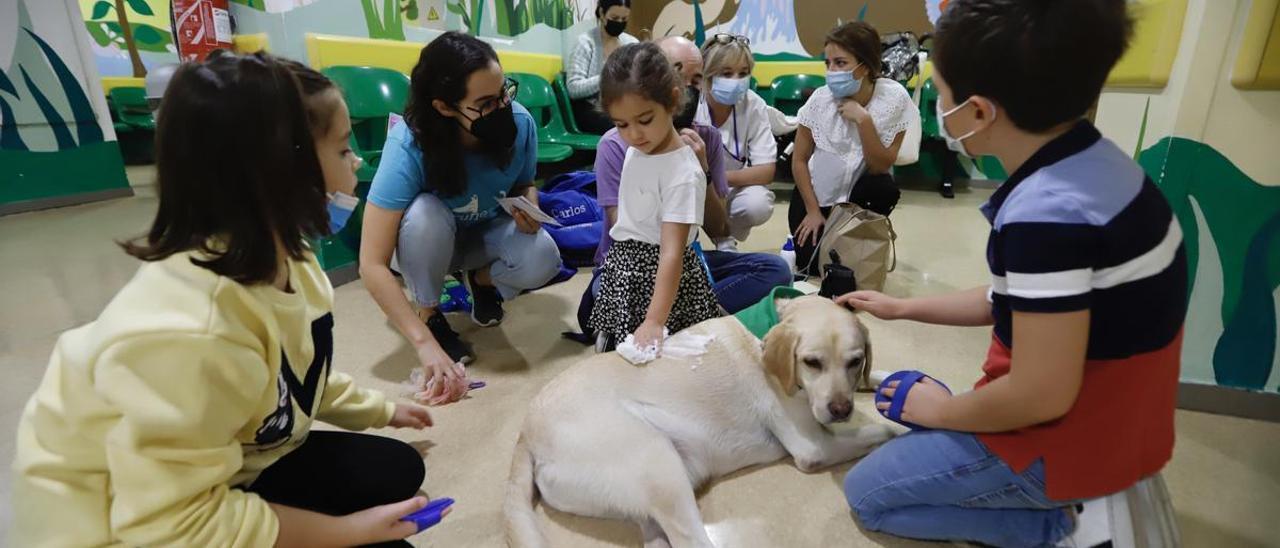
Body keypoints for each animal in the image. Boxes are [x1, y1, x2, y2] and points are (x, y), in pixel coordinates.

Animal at [504, 295, 896, 548]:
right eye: (812, 363)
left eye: (854, 361)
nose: (841, 409)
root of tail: (525, 434)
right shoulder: (813, 447)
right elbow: (880, 430)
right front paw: (902, 428)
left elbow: (881, 378)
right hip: (658, 462)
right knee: (689, 540)